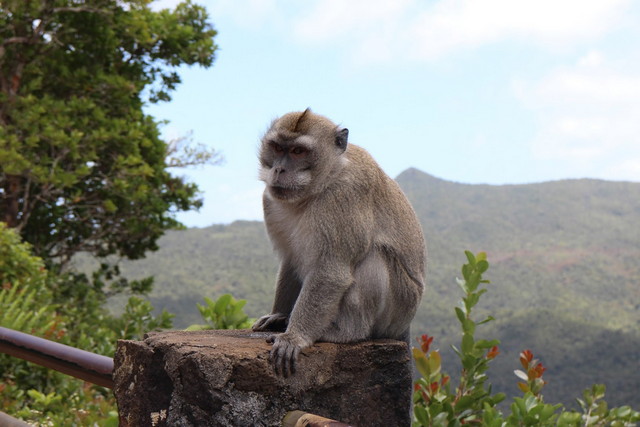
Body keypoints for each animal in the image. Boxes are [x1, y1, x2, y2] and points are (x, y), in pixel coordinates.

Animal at [252, 108, 428, 376]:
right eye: (277, 148)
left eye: (298, 151)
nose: (279, 170)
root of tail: (405, 324)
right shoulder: (270, 200)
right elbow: (291, 261)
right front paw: (278, 316)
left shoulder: (344, 196)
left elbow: (330, 272)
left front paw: (294, 337)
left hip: (401, 303)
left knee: (374, 257)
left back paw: (346, 333)